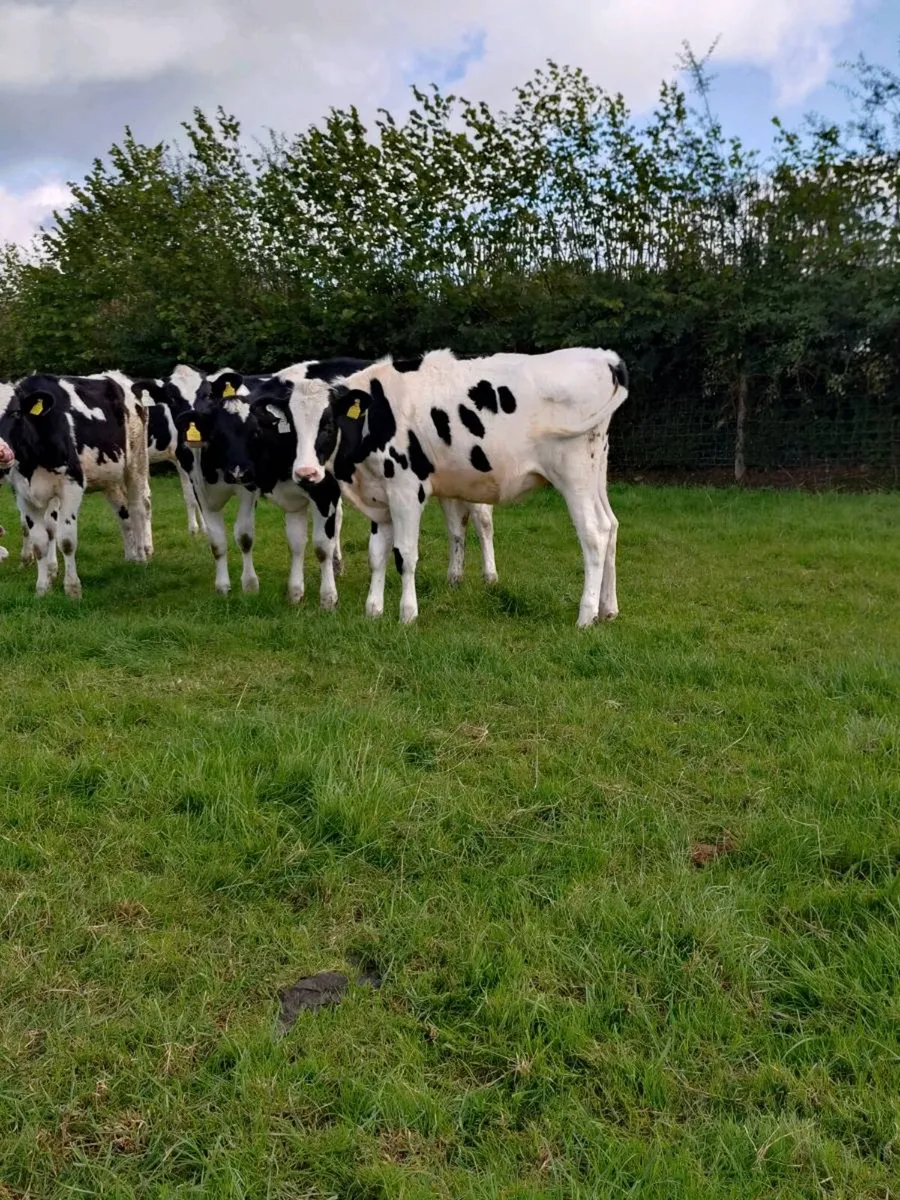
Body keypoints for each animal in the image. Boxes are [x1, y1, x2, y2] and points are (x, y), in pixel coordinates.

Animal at [0, 373, 150, 597]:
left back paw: (142, 556)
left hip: (136, 463)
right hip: (110, 478)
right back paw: (130, 556)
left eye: (16, 413)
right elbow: (39, 541)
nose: (2, 452)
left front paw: (72, 588)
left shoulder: (71, 486)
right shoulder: (23, 494)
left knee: (137, 508)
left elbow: (66, 540)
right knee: (123, 514)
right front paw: (42, 588)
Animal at [261, 347, 628, 626]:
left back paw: (586, 616)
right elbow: (377, 555)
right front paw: (373, 610)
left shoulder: (407, 490)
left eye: (328, 423)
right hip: (596, 472)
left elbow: (405, 554)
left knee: (594, 535)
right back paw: (608, 609)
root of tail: (603, 357)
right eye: (291, 426)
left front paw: (407, 614)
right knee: (611, 526)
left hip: (574, 475)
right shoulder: (380, 499)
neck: (376, 414)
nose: (305, 472)